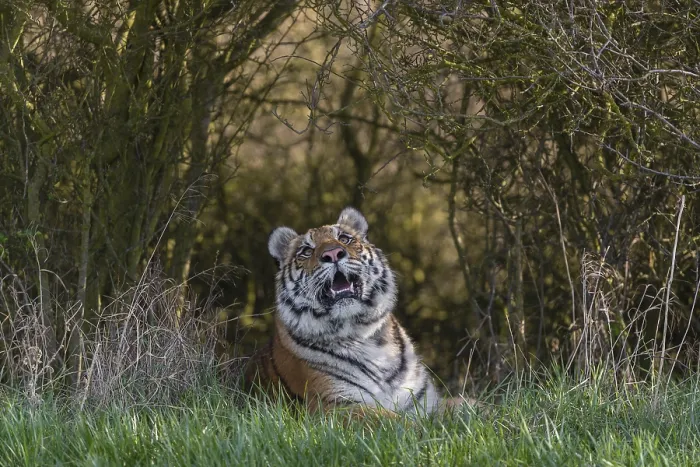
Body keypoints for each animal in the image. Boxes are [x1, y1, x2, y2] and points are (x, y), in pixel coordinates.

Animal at [244, 207, 459, 415]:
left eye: (344, 239)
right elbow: (391, 419)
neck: (363, 334)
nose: (332, 254)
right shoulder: (335, 406)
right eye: (306, 250)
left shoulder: (426, 401)